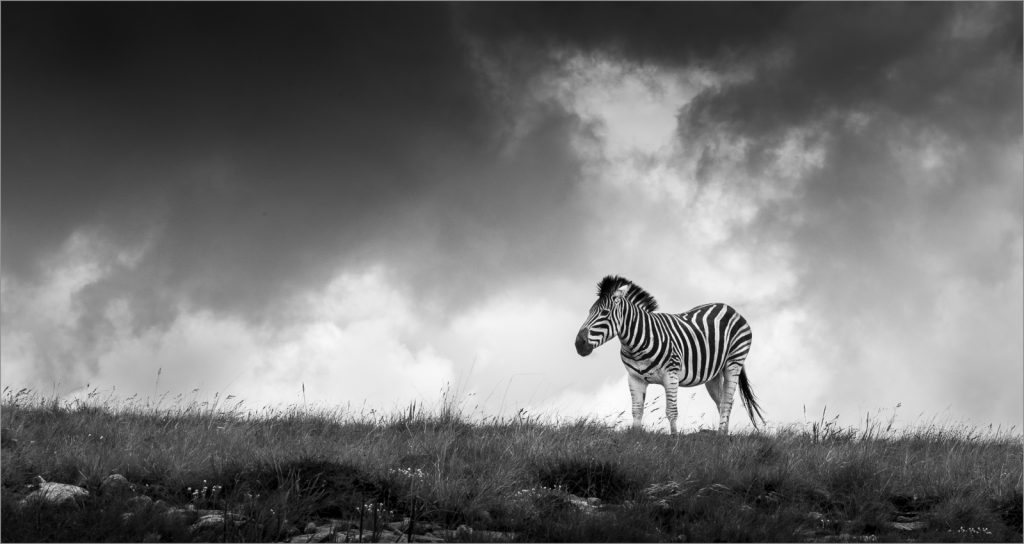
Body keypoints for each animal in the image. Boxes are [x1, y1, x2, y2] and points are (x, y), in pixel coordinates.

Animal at [574, 275, 765, 434]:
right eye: (589, 311)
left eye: (604, 313)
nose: (578, 344)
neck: (637, 344)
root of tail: (728, 307)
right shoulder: (634, 378)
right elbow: (637, 410)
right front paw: (635, 440)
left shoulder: (670, 375)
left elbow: (671, 411)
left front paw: (674, 440)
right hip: (713, 373)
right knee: (722, 401)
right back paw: (723, 435)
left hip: (734, 362)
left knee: (727, 402)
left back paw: (720, 438)